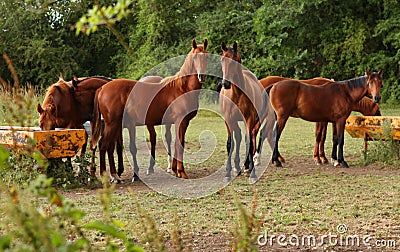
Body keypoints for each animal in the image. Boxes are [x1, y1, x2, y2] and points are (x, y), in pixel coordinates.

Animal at [91, 39, 209, 181]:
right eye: (195, 57)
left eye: (207, 56)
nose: (202, 76)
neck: (182, 88)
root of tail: (102, 88)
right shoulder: (180, 121)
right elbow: (179, 144)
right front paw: (181, 172)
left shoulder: (181, 122)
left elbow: (177, 143)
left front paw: (175, 170)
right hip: (112, 124)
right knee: (103, 145)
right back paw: (107, 175)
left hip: (115, 125)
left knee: (106, 146)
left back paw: (114, 175)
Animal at [217, 41, 268, 183]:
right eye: (222, 60)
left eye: (235, 60)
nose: (225, 83)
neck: (237, 94)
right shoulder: (228, 119)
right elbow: (230, 143)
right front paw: (227, 173)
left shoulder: (249, 119)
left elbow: (248, 141)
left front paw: (252, 173)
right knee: (239, 137)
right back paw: (238, 167)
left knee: (248, 137)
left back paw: (247, 166)